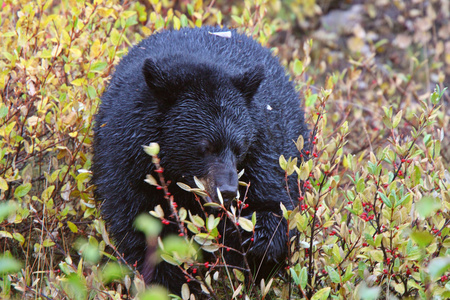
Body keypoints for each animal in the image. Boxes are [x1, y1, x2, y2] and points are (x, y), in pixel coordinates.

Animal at [92, 27, 308, 294]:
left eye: (239, 148)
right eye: (204, 148)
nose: (228, 191)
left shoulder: (265, 146)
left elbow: (277, 205)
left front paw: (255, 235)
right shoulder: (128, 160)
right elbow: (140, 227)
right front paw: (171, 284)